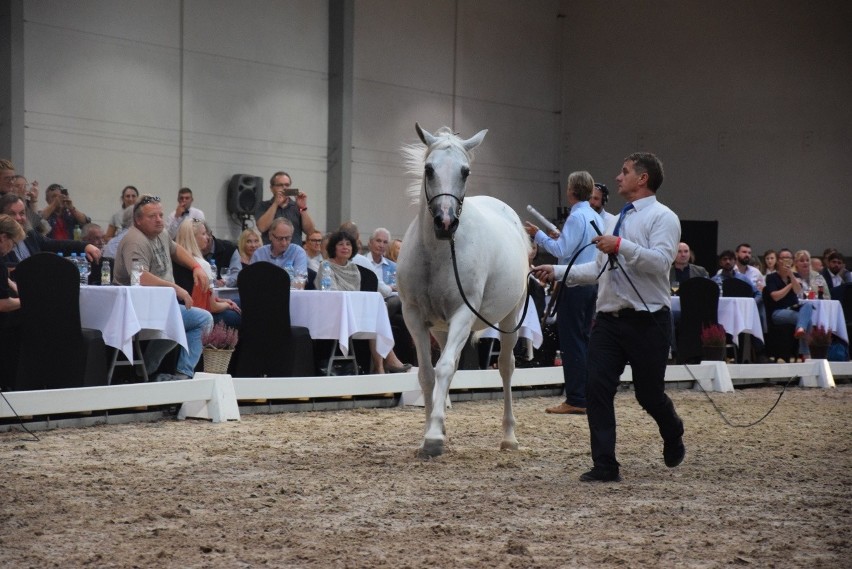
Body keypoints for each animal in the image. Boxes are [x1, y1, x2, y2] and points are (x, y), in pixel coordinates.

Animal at [396, 123, 528, 458]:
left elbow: (443, 369)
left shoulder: (462, 316)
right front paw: (429, 434)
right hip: (442, 329)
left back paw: (509, 437)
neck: (437, 254)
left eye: (465, 171)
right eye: (429, 169)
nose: (445, 222)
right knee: (451, 365)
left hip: (510, 319)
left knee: (506, 368)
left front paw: (433, 437)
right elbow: (428, 375)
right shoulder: (415, 318)